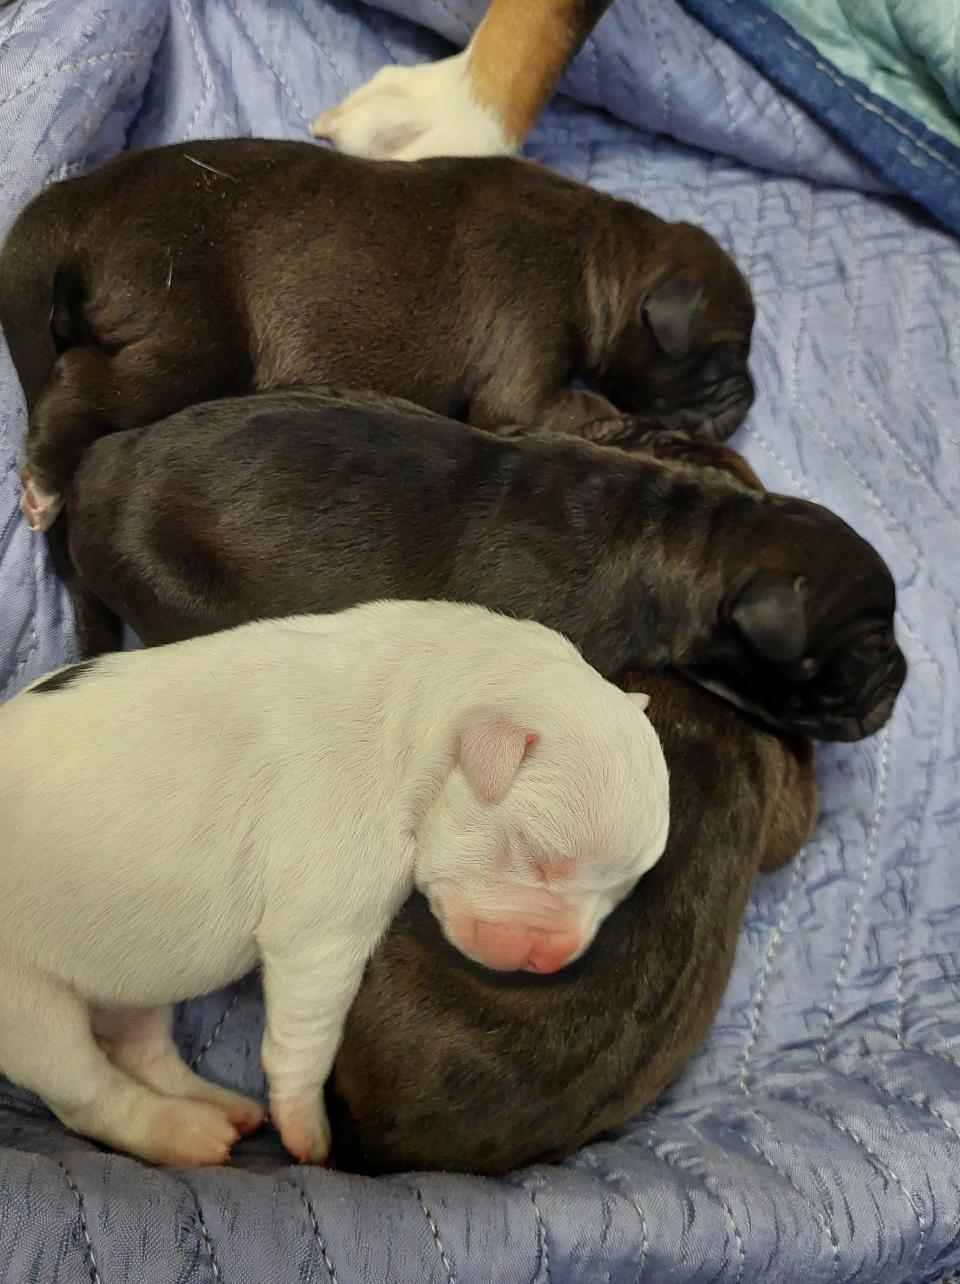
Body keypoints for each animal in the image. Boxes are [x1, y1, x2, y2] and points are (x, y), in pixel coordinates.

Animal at [0, 136, 759, 526]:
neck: (602, 247)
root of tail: (82, 192)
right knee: (78, 380)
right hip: (191, 336)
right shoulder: (526, 379)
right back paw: (45, 483)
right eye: (723, 361)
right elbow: (580, 409)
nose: (749, 398)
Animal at [0, 598, 667, 1165]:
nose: (554, 960)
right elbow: (307, 1036)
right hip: (26, 1003)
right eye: (538, 857)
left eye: (621, 892)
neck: (419, 717)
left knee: (140, 1044)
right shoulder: (322, 928)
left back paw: (221, 1107)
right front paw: (308, 1134)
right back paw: (185, 1135)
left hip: (135, 974)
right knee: (84, 1091)